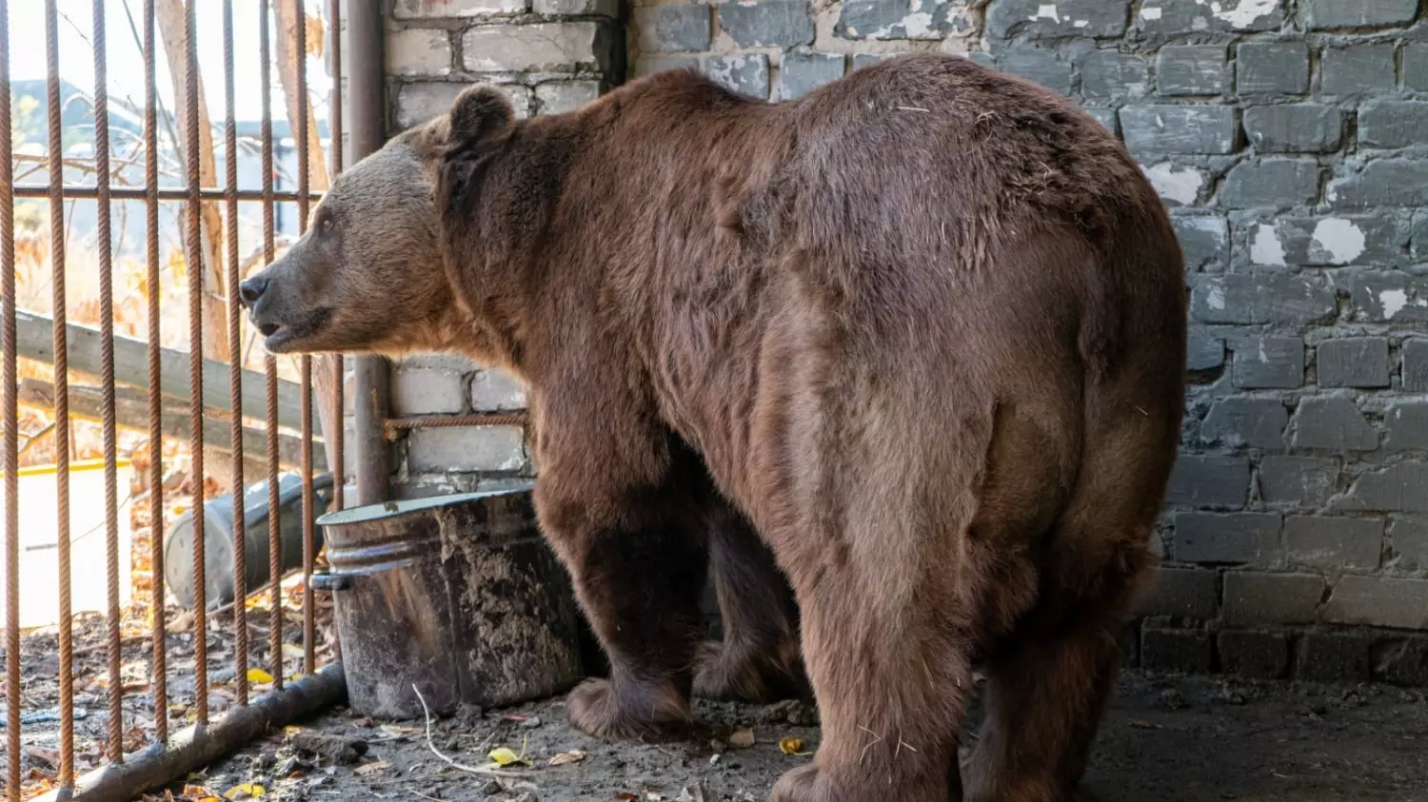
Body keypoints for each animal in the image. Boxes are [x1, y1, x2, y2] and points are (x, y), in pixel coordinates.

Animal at [242, 53, 1182, 793]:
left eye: (324, 216)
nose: (255, 287)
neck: (516, 250)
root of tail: (1078, 253)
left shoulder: (600, 311)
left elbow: (606, 495)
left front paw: (609, 700)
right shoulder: (705, 368)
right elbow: (730, 517)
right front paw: (741, 666)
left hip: (902, 346)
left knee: (874, 587)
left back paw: (827, 779)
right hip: (1130, 404)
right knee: (1075, 618)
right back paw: (1017, 776)